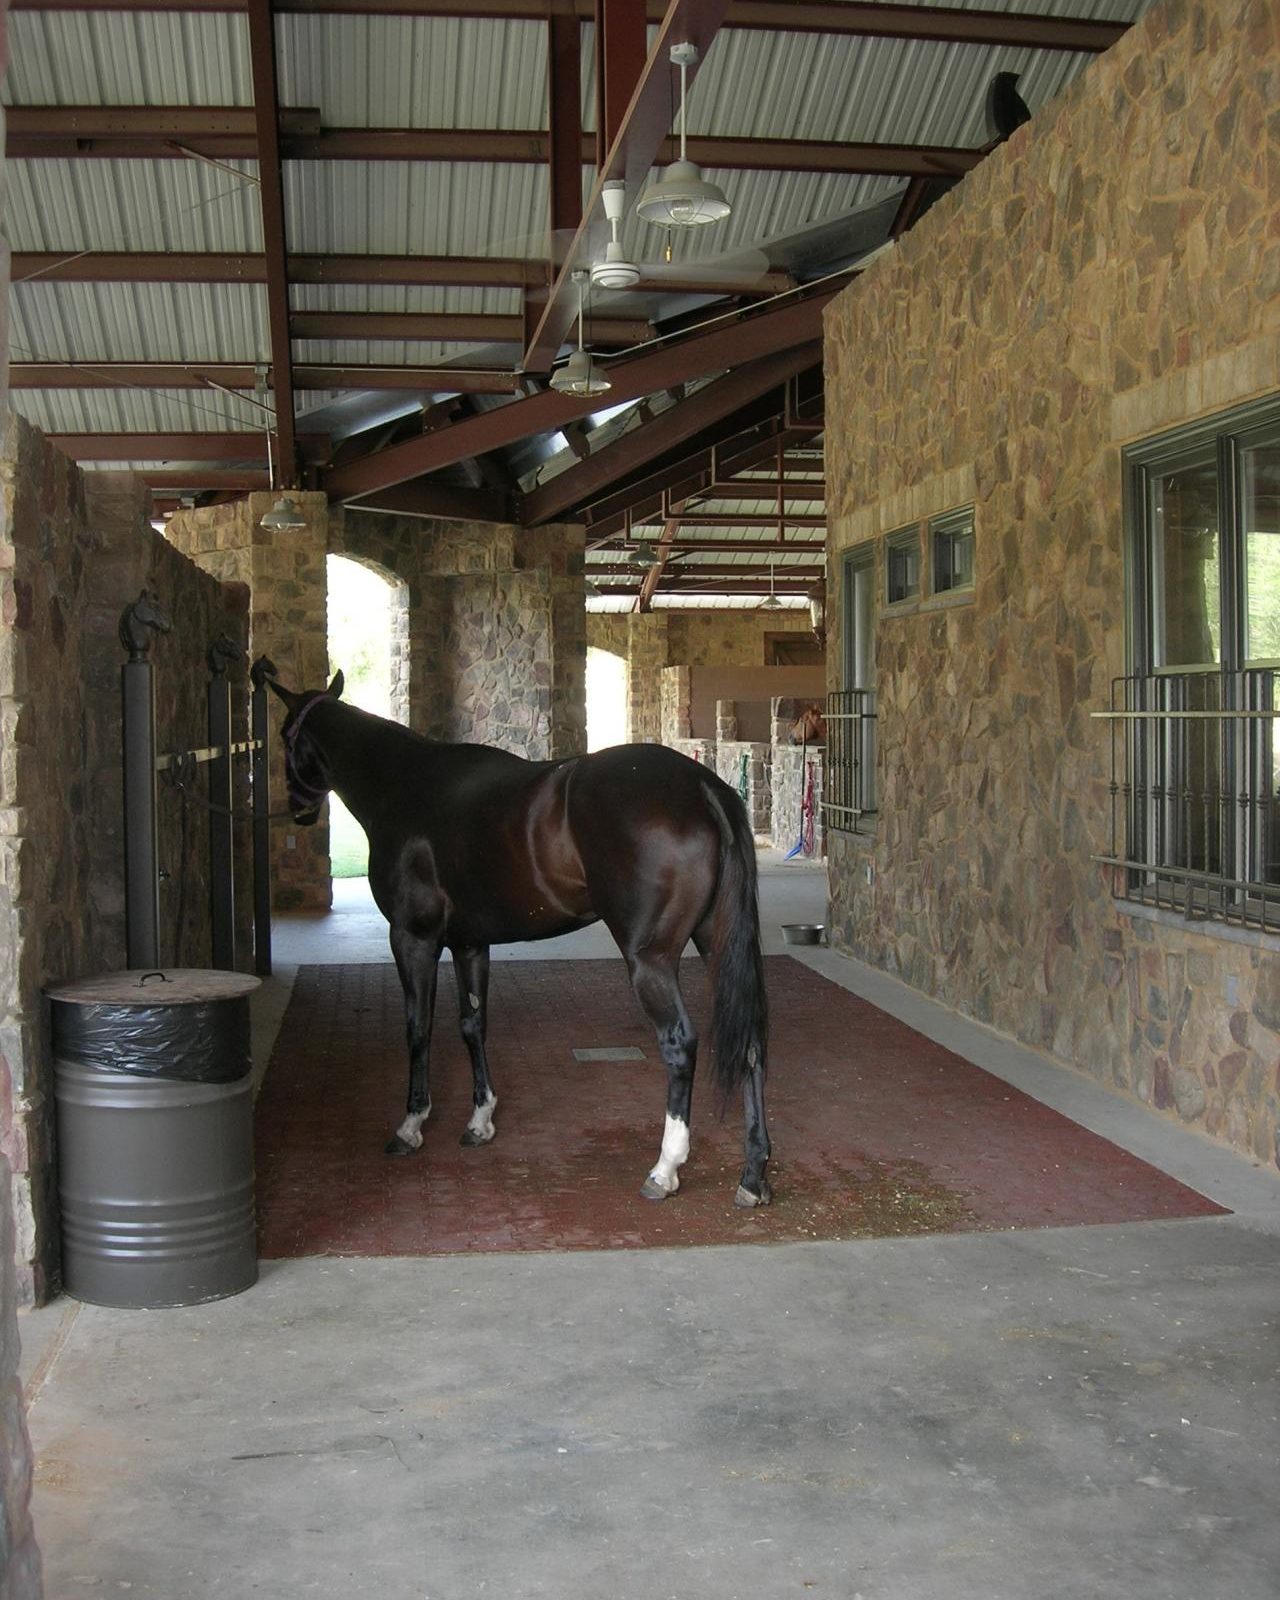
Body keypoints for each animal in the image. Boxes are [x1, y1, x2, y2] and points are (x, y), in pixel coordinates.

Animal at [268, 672, 772, 1209]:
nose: (298, 810)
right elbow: (473, 1025)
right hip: (716, 942)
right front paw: (480, 1119)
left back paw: (665, 1168)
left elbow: (417, 1028)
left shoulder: (412, 938)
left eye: (284, 735)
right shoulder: (469, 944)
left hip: (650, 960)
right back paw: (753, 1175)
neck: (403, 786)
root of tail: (702, 786)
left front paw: (411, 1125)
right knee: (751, 1041)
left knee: (679, 1044)